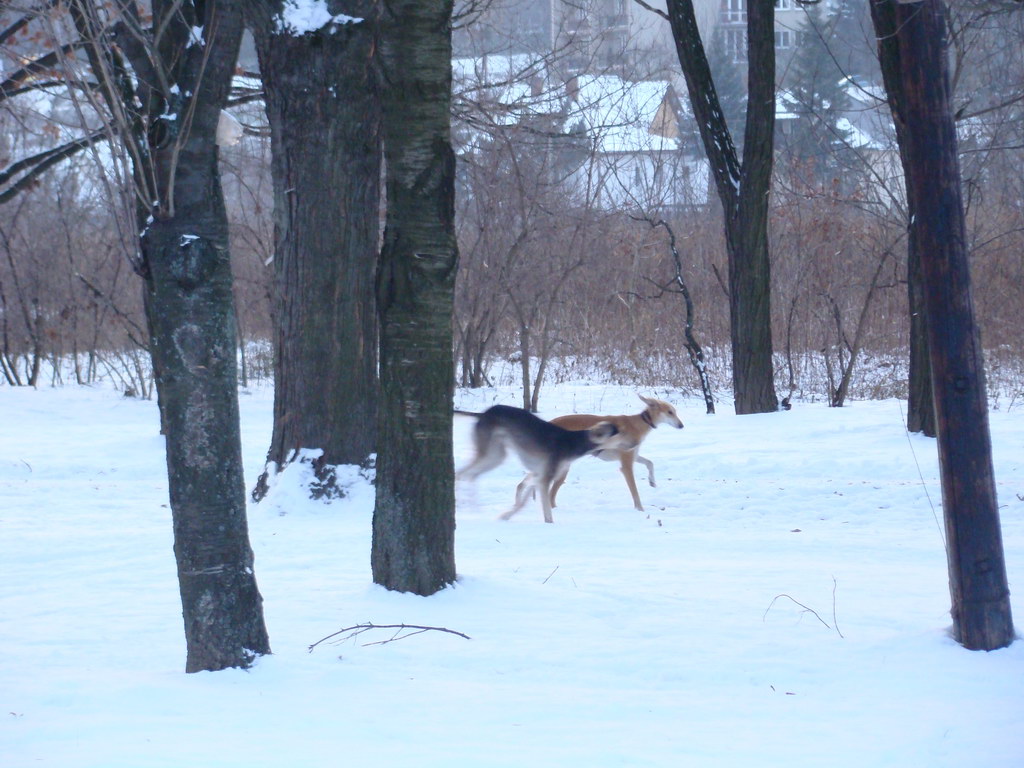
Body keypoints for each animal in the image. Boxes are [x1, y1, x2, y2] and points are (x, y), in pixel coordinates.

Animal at [516, 393, 684, 514]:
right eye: (670, 412)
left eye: (675, 412)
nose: (682, 425)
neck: (639, 423)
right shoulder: (626, 465)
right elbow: (635, 492)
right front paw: (640, 510)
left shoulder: (633, 456)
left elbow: (650, 463)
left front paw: (652, 481)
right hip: (561, 468)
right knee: (547, 493)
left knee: (530, 484)